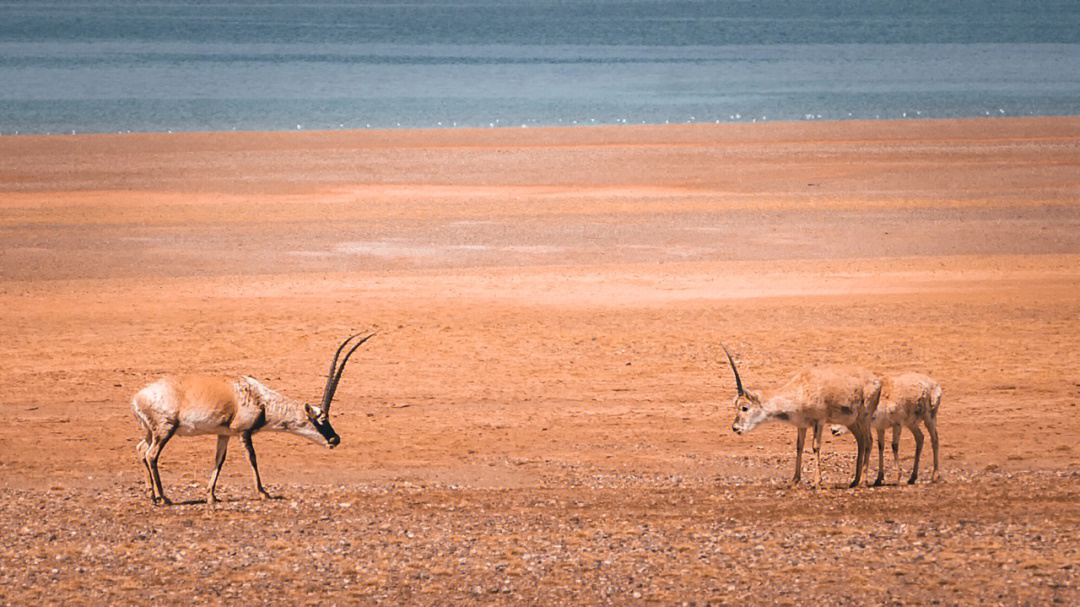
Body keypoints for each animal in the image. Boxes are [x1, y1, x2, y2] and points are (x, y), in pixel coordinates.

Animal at [131, 330, 375, 501]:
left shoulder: (225, 434)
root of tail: (136, 398)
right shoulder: (243, 432)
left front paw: (211, 495)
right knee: (152, 455)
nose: (336, 439)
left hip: (151, 432)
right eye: (322, 419)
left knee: (142, 450)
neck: (261, 398)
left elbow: (219, 460)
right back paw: (164, 498)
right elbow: (253, 458)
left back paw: (152, 495)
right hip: (165, 430)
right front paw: (263, 492)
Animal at [721, 345, 881, 486]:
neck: (801, 390)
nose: (735, 427)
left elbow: (815, 446)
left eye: (745, 407)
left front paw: (816, 482)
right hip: (852, 422)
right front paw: (795, 480)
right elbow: (799, 446)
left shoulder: (819, 421)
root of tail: (877, 381)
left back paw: (863, 482)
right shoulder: (802, 425)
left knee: (869, 441)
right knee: (861, 442)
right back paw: (854, 481)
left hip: (864, 418)